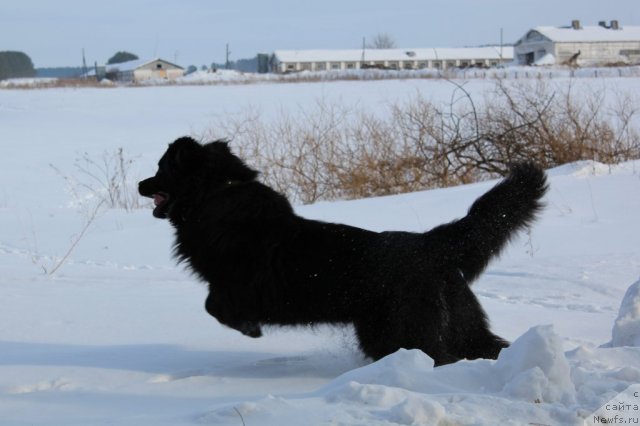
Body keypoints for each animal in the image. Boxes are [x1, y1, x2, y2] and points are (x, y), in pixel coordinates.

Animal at [138, 136, 548, 366]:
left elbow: (214, 306)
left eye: (161, 168)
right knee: (487, 347)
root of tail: (431, 244)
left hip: (402, 329)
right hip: (458, 324)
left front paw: (250, 330)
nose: (140, 184)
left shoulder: (234, 286)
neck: (214, 193)